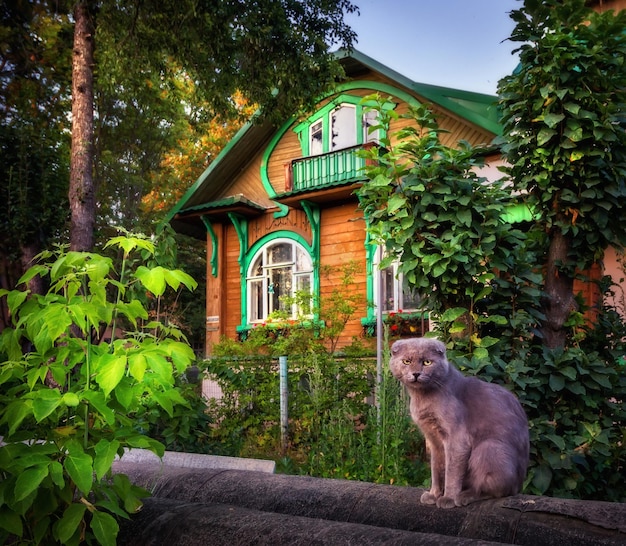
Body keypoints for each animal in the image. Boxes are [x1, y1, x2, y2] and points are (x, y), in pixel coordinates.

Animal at [390, 334, 528, 508]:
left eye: (427, 362)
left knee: (496, 490)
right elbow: (436, 468)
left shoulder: (457, 438)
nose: (416, 373)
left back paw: (464, 496)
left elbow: (452, 472)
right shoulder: (433, 440)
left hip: (488, 448)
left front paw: (448, 498)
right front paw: (433, 494)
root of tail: (519, 485)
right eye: (406, 361)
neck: (421, 397)